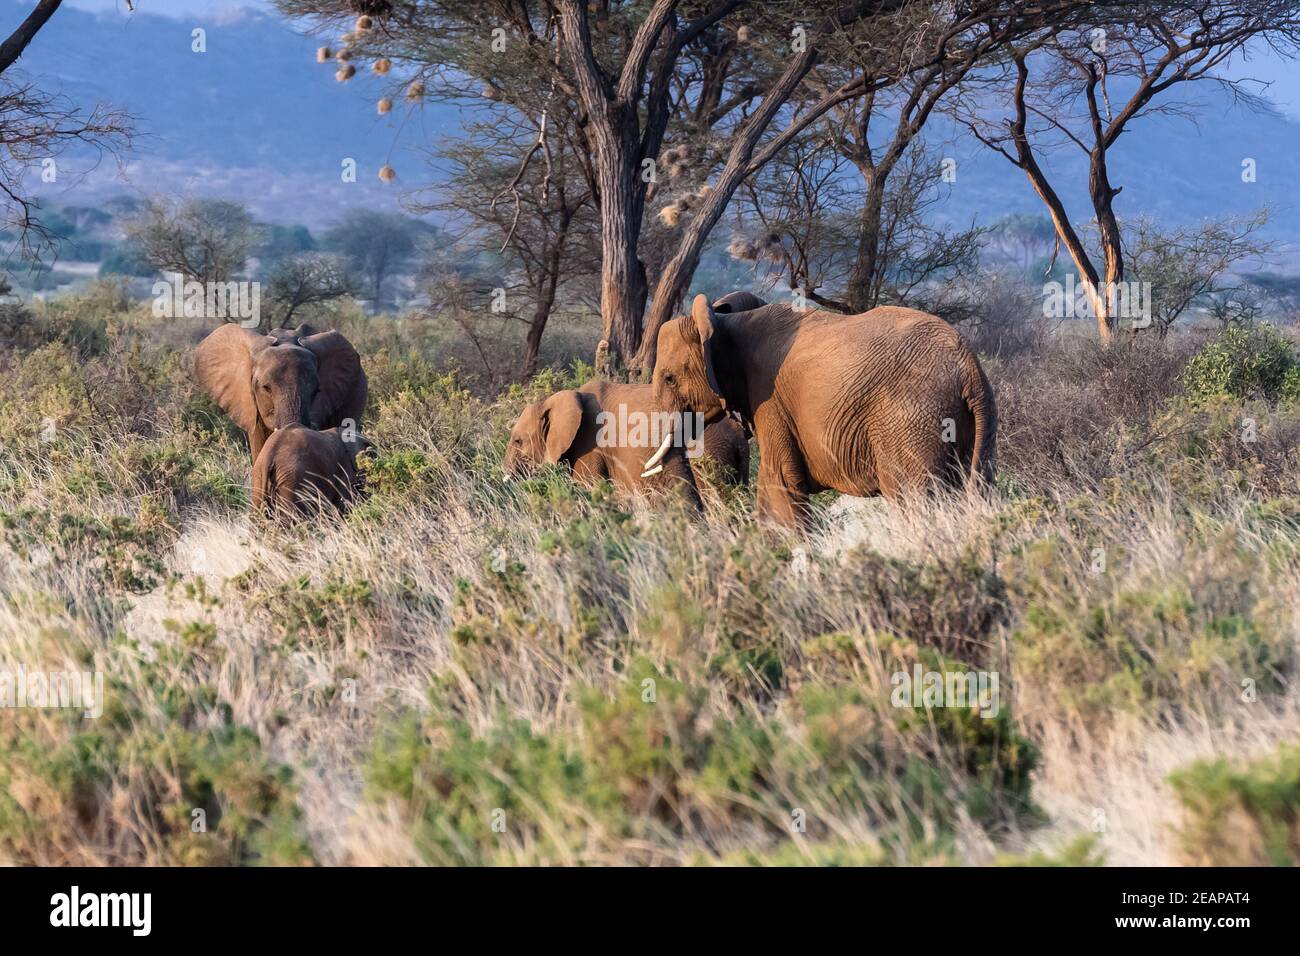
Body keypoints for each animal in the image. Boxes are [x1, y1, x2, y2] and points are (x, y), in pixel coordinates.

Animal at [650, 293, 993, 528]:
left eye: (669, 378)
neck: (725, 320)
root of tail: (970, 368)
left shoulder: (770, 400)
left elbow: (779, 483)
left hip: (910, 421)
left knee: (914, 499)